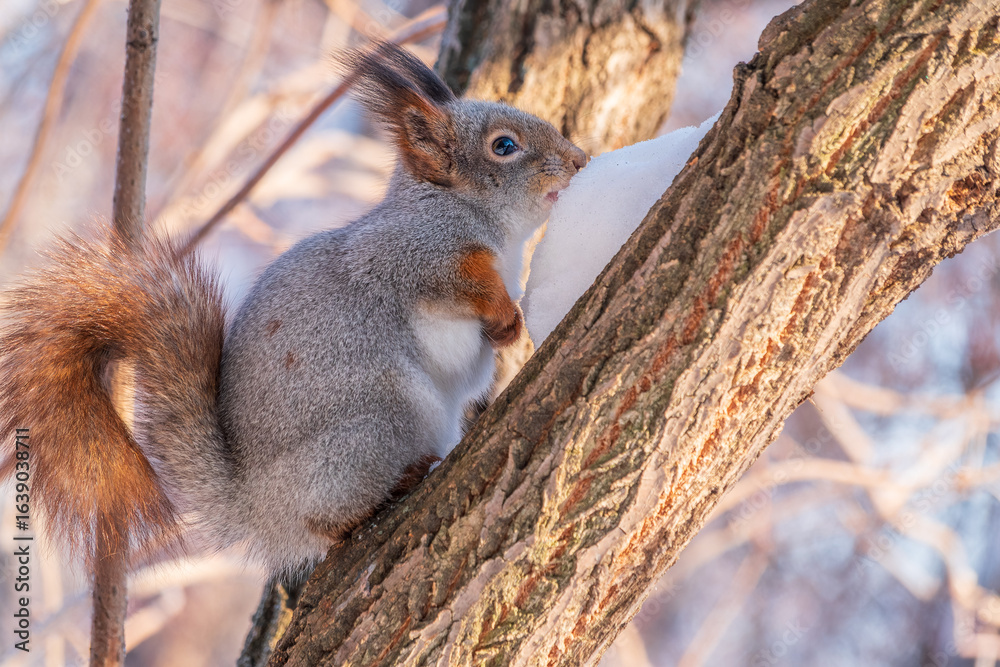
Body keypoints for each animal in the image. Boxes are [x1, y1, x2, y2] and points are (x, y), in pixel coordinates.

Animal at [0, 42, 586, 576]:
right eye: (504, 146)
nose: (579, 161)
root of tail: (257, 509)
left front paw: (509, 328)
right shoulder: (412, 252)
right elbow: (460, 282)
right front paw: (503, 311)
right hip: (381, 420)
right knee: (326, 520)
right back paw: (392, 486)